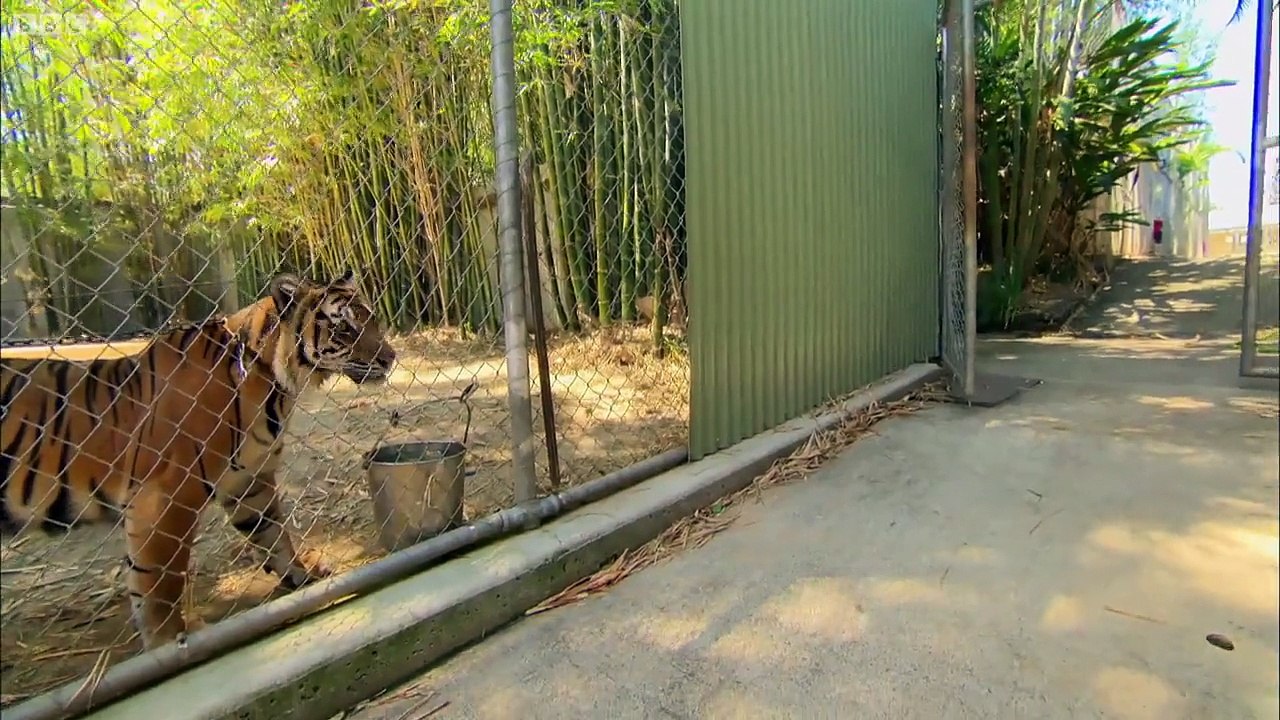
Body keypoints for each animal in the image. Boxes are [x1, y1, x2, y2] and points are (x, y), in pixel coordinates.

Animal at [0, 270, 396, 650]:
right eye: (345, 328)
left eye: (372, 319)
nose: (390, 358)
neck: (272, 382)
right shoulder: (168, 495)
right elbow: (158, 579)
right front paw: (167, 640)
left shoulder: (248, 481)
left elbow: (273, 533)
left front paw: (302, 575)